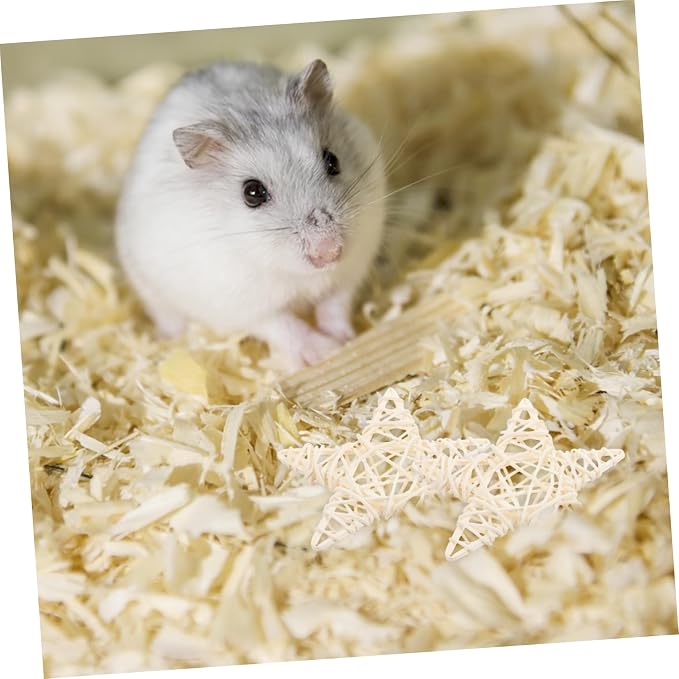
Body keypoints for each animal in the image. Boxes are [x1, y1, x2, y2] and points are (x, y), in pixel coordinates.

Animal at [114, 59, 386, 371]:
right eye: (252, 193)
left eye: (333, 161)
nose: (329, 253)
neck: (296, 273)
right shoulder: (241, 304)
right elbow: (283, 325)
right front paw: (325, 350)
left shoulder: (352, 266)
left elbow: (335, 302)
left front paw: (344, 337)